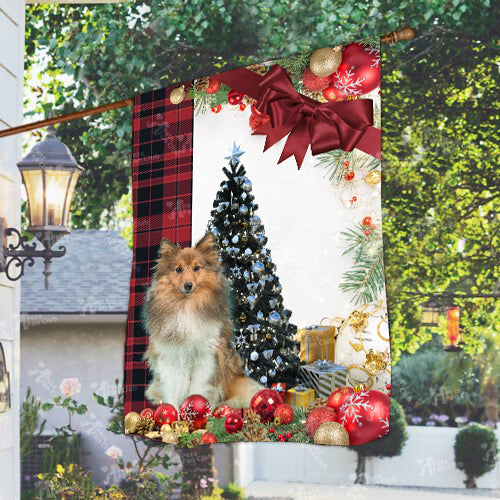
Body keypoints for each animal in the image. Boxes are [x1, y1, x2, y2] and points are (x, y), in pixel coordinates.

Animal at [144, 232, 262, 408]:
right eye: (178, 269)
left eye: (197, 268)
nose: (188, 285)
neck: (187, 306)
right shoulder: (170, 357)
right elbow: (172, 390)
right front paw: (173, 412)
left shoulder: (205, 357)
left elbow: (197, 389)